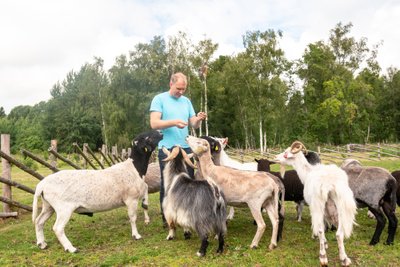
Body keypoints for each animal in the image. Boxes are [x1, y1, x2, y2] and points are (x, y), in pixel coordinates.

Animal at [31, 130, 162, 253]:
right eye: (146, 137)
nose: (161, 132)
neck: (135, 168)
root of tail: (42, 184)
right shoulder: (131, 199)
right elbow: (133, 217)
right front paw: (136, 235)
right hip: (63, 208)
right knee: (57, 228)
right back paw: (71, 248)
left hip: (48, 206)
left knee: (39, 221)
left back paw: (42, 244)